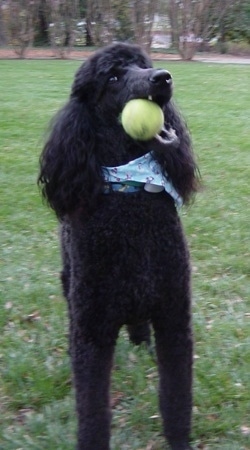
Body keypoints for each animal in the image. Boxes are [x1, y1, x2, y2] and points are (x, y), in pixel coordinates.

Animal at [38, 42, 199, 450]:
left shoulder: (174, 317)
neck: (131, 191)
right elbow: (92, 412)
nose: (163, 78)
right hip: (72, 284)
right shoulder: (92, 333)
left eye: (142, 64)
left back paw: (141, 343)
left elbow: (177, 400)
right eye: (112, 77)